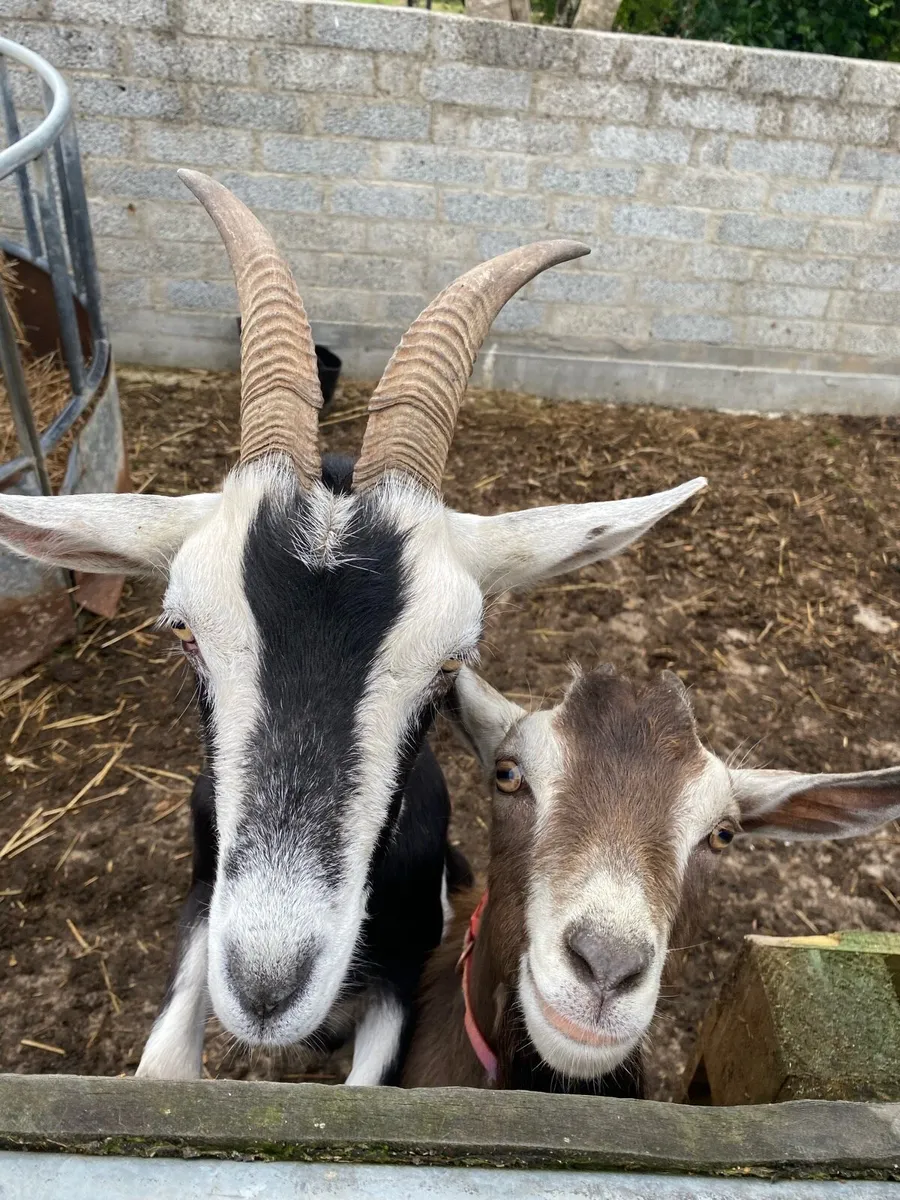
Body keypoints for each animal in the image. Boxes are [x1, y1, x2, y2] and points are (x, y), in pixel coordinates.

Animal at [0, 171, 706, 1085]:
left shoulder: (402, 984)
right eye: (184, 633)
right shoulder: (201, 911)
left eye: (449, 664)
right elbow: (162, 1068)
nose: (266, 986)